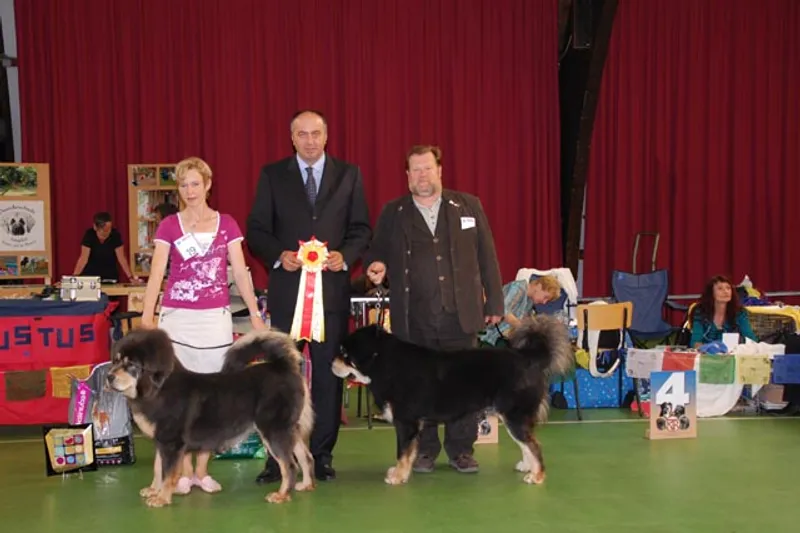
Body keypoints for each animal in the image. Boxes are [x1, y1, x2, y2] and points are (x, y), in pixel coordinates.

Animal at [106, 327, 315, 507]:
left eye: (131, 365)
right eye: (116, 361)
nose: (109, 376)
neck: (159, 388)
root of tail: (284, 366)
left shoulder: (171, 442)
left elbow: (168, 473)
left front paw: (162, 498)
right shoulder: (161, 441)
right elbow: (158, 469)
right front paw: (153, 490)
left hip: (273, 430)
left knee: (289, 465)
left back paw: (281, 495)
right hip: (288, 428)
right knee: (305, 456)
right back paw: (306, 485)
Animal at [331, 315, 573, 486]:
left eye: (345, 354)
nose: (331, 364)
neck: (385, 362)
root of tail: (528, 357)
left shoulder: (406, 422)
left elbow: (402, 452)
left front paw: (397, 477)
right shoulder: (414, 424)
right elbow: (411, 453)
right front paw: (403, 473)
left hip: (514, 415)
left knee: (533, 444)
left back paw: (537, 475)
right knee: (526, 443)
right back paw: (527, 467)